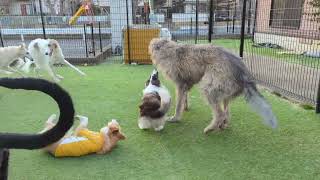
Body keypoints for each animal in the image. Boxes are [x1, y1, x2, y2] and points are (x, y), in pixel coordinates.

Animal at [150, 38, 278, 134]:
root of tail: (242, 71)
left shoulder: (180, 84)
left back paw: (211, 128)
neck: (170, 50)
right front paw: (185, 107)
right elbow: (184, 98)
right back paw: (223, 124)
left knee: (220, 113)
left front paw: (175, 118)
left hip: (211, 88)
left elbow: (178, 103)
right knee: (226, 111)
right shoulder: (186, 84)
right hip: (226, 91)